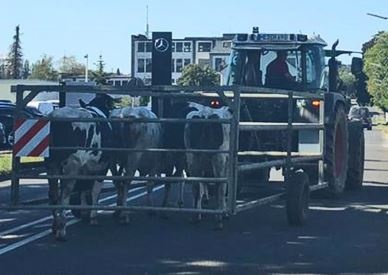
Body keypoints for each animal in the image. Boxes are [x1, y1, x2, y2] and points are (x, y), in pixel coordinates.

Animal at [45, 94, 115, 240]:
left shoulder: (85, 168)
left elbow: (83, 188)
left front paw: (84, 212)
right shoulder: (103, 165)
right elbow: (95, 190)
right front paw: (93, 217)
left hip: (51, 165)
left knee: (53, 195)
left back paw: (55, 227)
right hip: (71, 166)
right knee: (64, 195)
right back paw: (61, 230)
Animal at [184, 102, 232, 230]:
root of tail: (205, 113)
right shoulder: (226, 164)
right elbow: (223, 187)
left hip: (193, 158)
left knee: (196, 185)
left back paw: (196, 216)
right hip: (218, 159)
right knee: (217, 186)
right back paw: (218, 218)